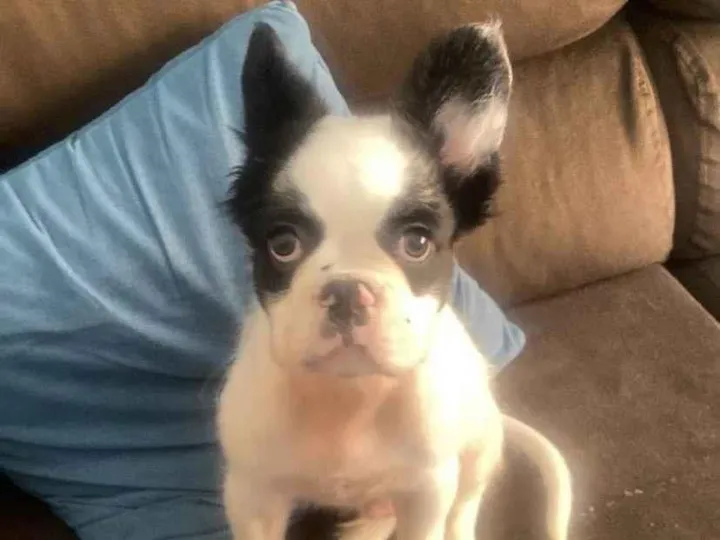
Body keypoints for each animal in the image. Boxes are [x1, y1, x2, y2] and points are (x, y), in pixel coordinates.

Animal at [218, 20, 572, 540]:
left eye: (417, 243)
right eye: (282, 244)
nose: (346, 290)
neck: (350, 397)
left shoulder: (427, 491)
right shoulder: (251, 497)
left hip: (478, 446)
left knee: (466, 503)